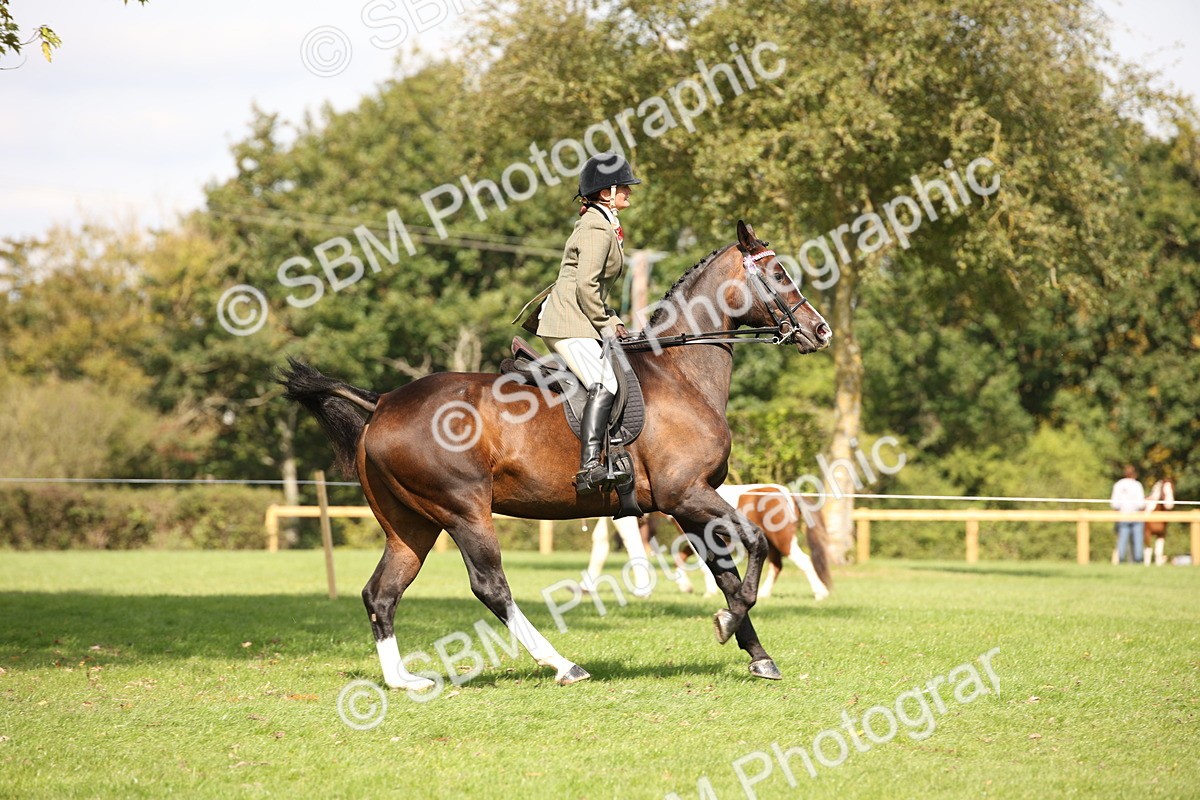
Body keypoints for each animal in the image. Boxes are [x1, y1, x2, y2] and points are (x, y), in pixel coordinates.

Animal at [280, 220, 832, 688]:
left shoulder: (689, 503)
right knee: (490, 586)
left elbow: (726, 573)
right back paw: (563, 664)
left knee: (382, 592)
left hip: (411, 525)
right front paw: (726, 622)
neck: (680, 373)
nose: (820, 330)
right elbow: (753, 546)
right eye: (779, 273)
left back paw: (402, 681)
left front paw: (757, 654)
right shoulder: (687, 495)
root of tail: (383, 402)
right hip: (463, 512)